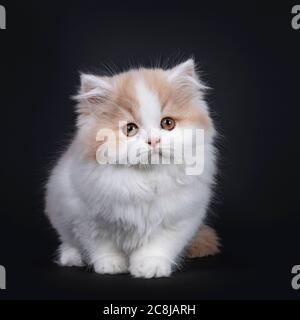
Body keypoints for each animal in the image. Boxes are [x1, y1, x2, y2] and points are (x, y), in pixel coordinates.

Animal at [44, 59, 218, 278]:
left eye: (168, 123)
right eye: (130, 129)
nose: (153, 140)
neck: (145, 180)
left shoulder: (178, 218)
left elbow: (158, 247)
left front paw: (150, 268)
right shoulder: (86, 218)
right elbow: (102, 246)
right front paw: (110, 265)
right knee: (69, 242)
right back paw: (71, 258)